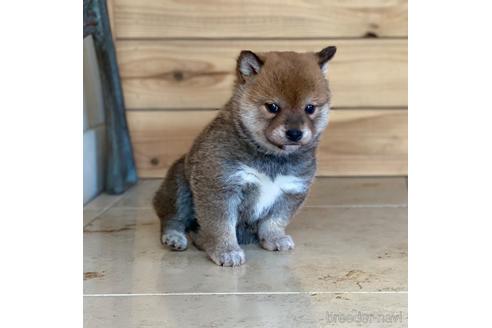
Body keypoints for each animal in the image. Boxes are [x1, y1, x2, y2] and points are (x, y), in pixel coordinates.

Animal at [154, 46, 336, 266]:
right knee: (172, 219)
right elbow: (221, 226)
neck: (271, 159)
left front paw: (273, 238)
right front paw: (226, 251)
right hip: (179, 188)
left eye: (310, 108)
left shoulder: (291, 191)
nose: (294, 133)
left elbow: (274, 221)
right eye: (272, 107)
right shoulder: (220, 188)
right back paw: (176, 238)